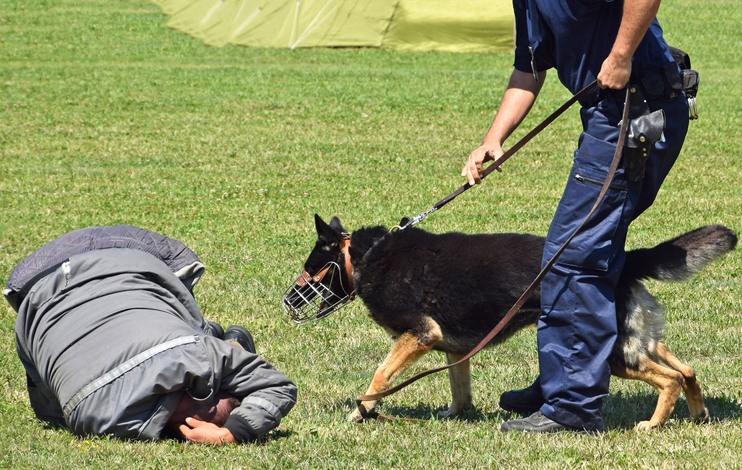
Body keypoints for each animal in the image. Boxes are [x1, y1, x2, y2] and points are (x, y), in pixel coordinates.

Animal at [292, 215, 740, 432]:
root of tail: (622, 261)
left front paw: (362, 411)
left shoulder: (419, 335)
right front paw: (455, 416)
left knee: (669, 379)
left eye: (310, 269)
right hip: (638, 341)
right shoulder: (452, 348)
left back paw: (653, 424)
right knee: (686, 369)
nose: (289, 302)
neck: (367, 256)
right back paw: (698, 415)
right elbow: (459, 389)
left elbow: (380, 375)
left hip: (614, 355)